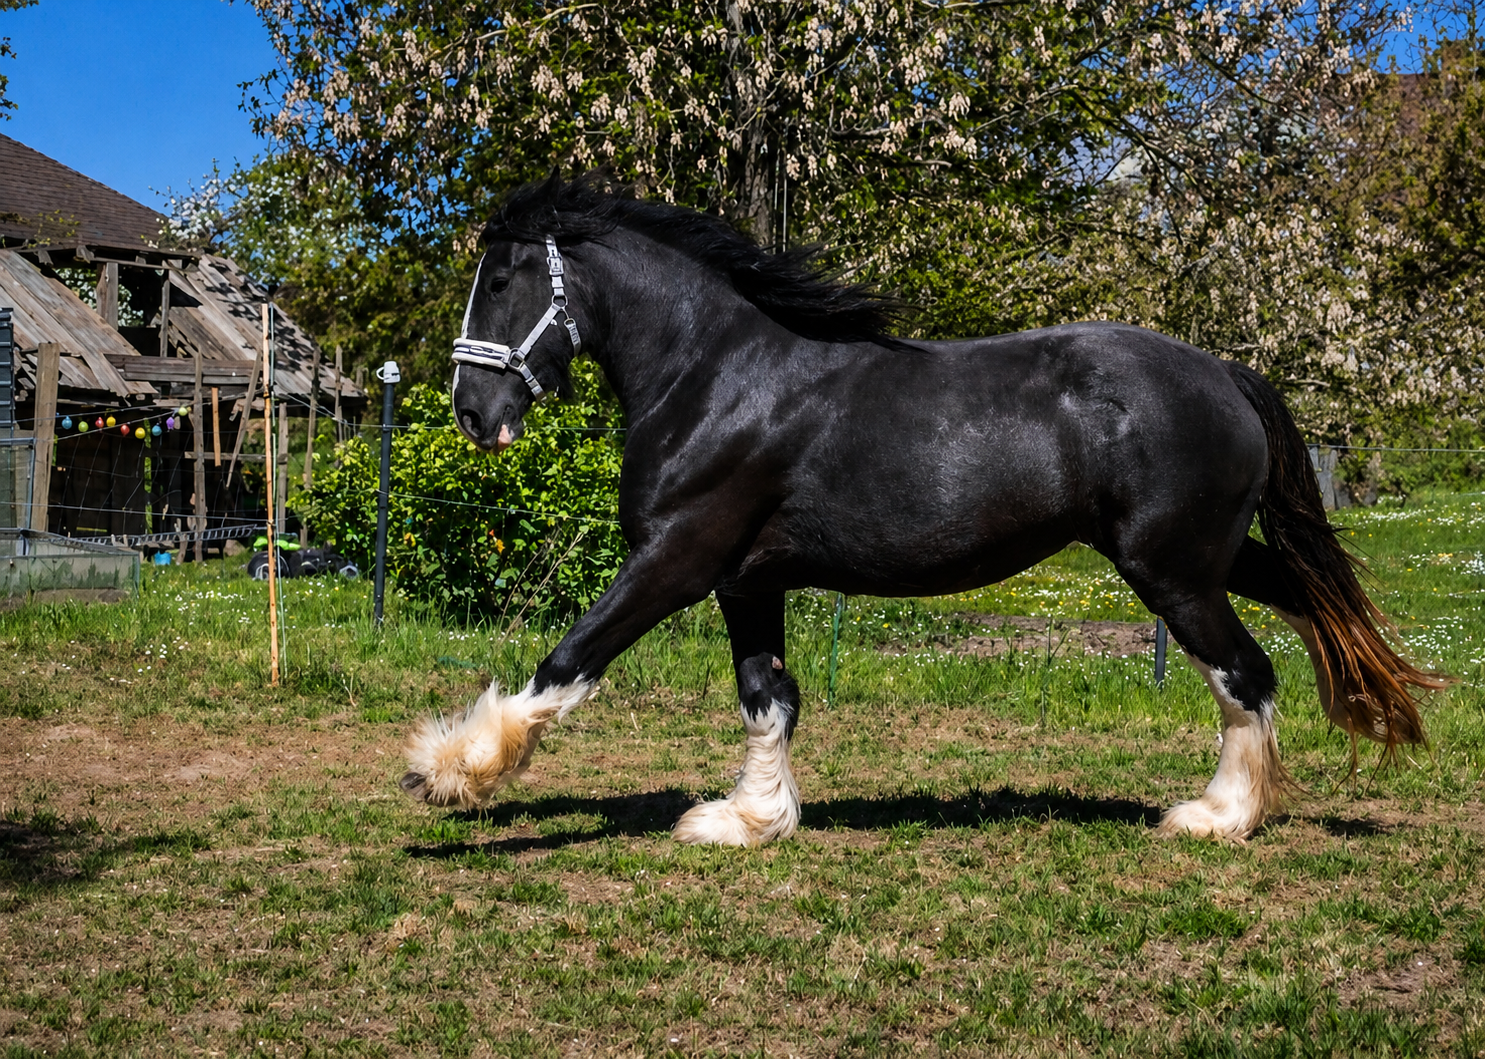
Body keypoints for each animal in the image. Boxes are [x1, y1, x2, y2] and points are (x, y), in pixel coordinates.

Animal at [399, 174, 1443, 845]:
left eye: (501, 280)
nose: (472, 412)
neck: (717, 378)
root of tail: (1223, 373)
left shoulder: (675, 559)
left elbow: (567, 661)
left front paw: (453, 769)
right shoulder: (746, 581)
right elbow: (767, 698)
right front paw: (748, 819)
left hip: (1173, 571)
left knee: (1244, 672)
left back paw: (1215, 816)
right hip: (1212, 558)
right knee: (1309, 611)